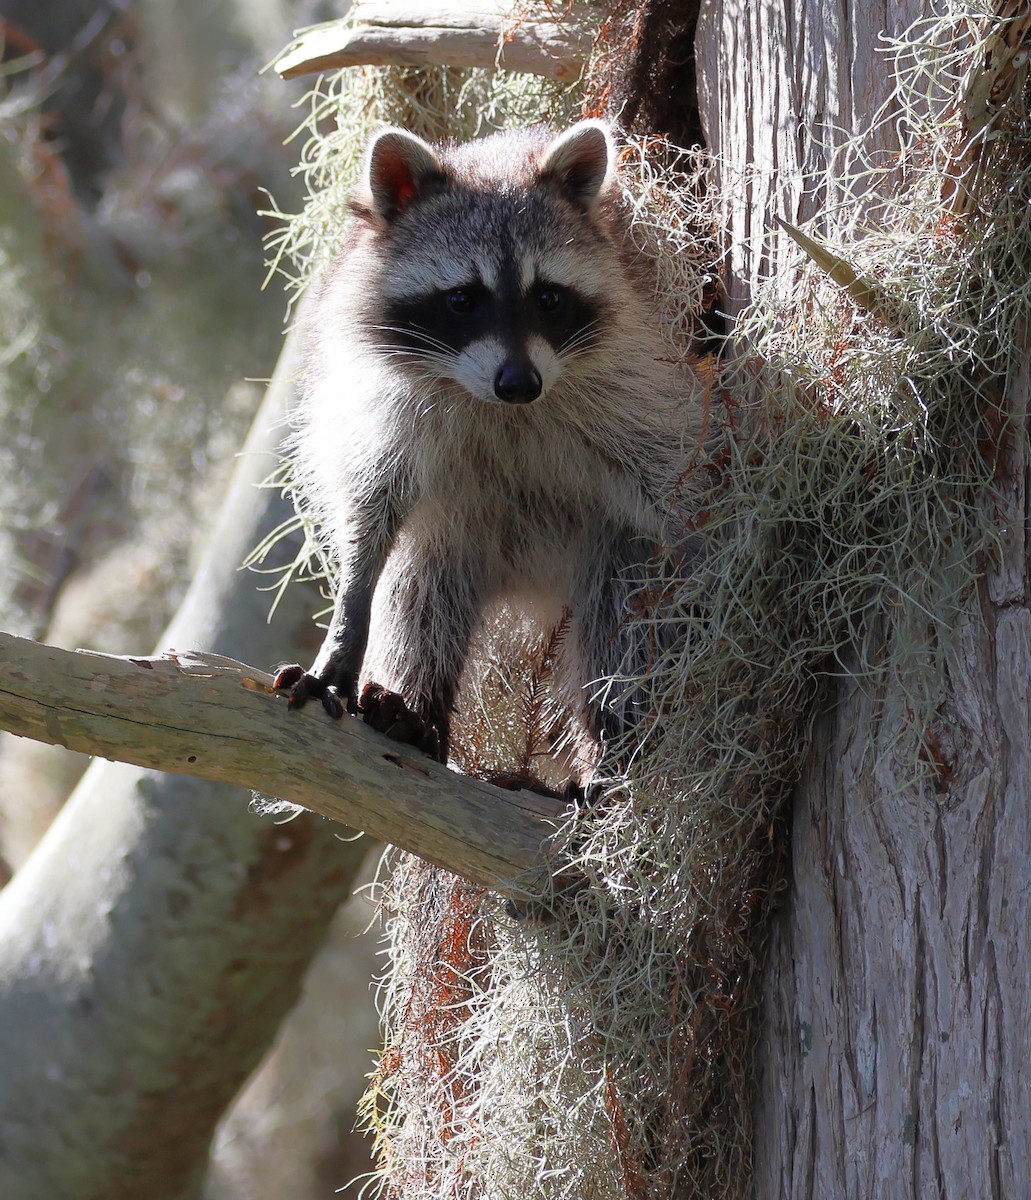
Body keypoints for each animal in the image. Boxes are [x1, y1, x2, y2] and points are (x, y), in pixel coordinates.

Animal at [274, 120, 703, 771]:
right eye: (462, 299)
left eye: (547, 297)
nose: (520, 384)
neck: (497, 409)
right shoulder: (378, 403)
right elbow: (370, 511)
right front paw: (347, 621)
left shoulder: (641, 377)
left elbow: (680, 486)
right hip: (458, 536)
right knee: (423, 594)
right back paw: (413, 711)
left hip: (609, 547)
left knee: (624, 617)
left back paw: (615, 740)